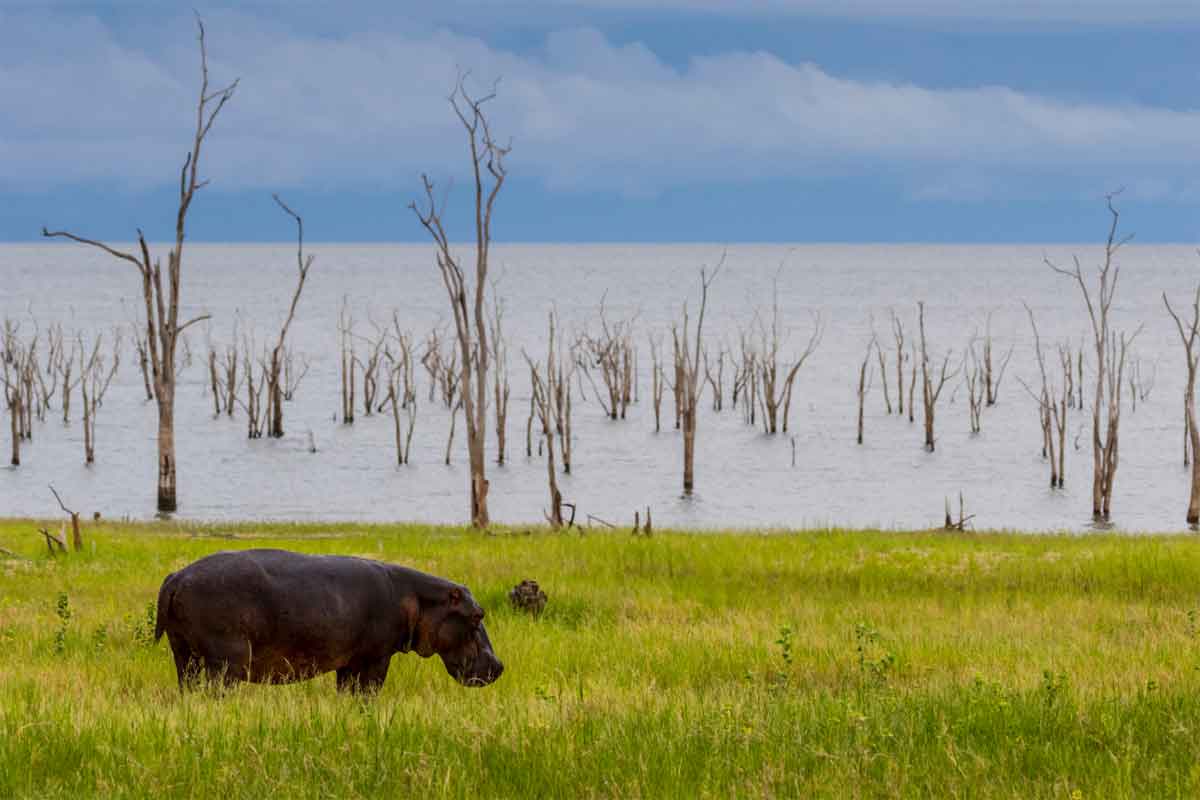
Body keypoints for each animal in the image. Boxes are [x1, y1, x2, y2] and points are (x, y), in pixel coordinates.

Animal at [153, 551, 501, 695]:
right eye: (477, 615)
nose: (499, 666)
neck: (419, 597)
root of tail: (176, 577)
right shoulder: (375, 660)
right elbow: (368, 693)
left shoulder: (350, 663)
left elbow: (347, 691)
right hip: (227, 661)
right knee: (217, 690)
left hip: (184, 654)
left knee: (189, 685)